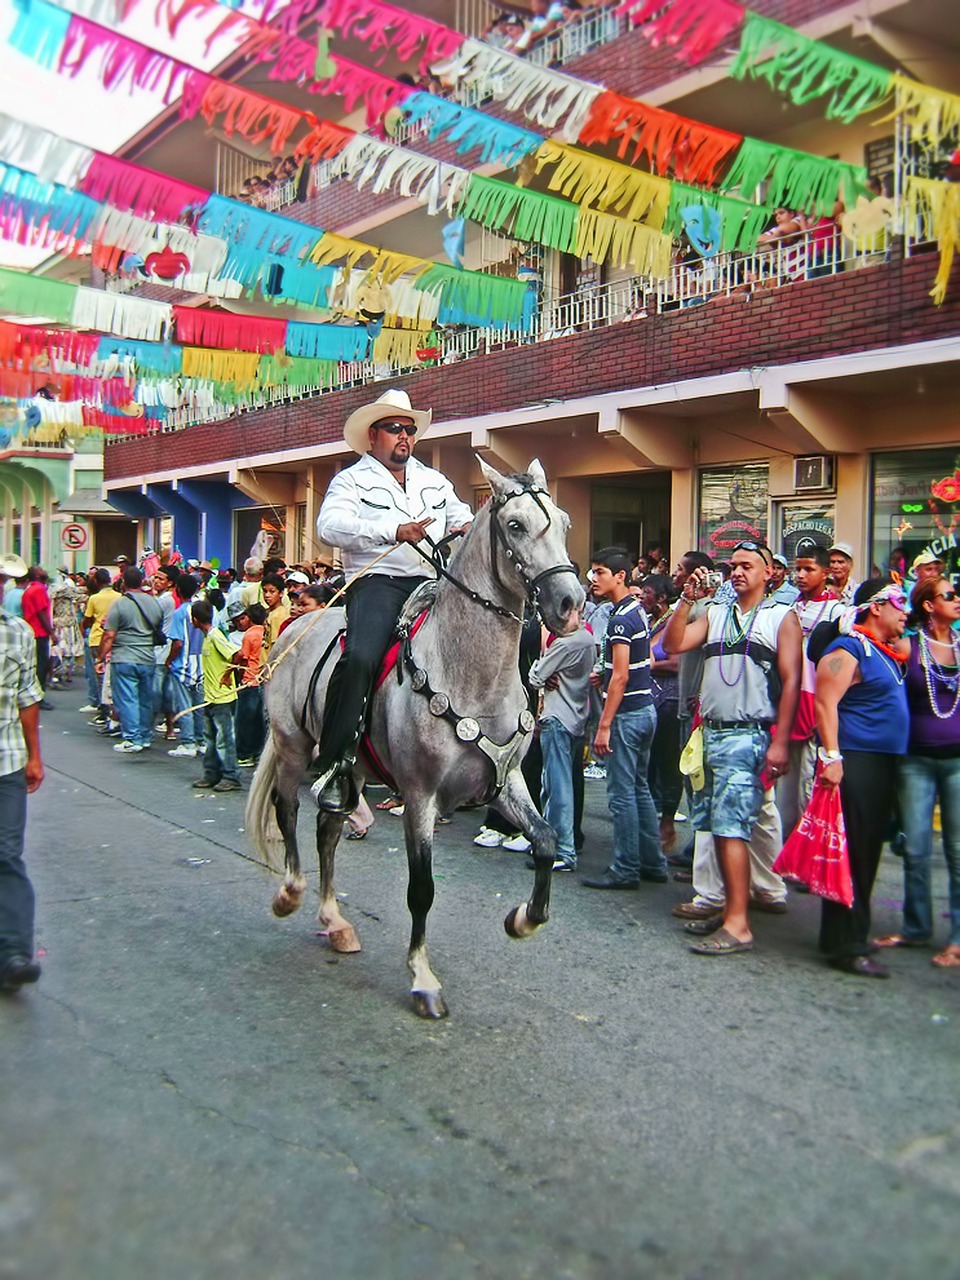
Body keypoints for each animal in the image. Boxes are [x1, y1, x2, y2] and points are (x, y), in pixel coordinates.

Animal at [244, 460, 583, 1018]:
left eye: (563, 522)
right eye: (515, 525)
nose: (571, 603)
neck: (471, 674)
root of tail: (298, 623)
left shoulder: (507, 781)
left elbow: (547, 840)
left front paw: (522, 920)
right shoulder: (421, 795)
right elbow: (421, 889)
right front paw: (423, 979)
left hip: (353, 767)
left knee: (327, 828)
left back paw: (335, 921)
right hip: (292, 745)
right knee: (287, 809)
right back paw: (290, 894)